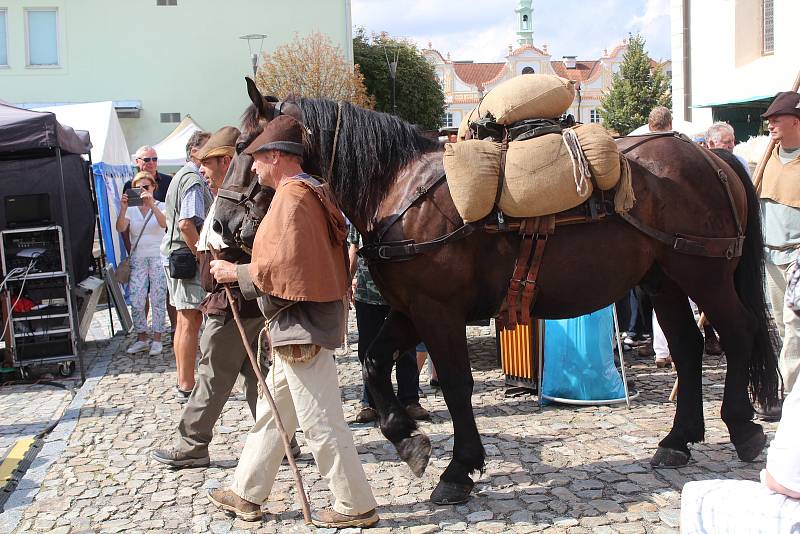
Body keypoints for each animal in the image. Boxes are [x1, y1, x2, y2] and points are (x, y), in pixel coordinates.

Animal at [217, 79, 776, 506]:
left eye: (247, 148)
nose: (221, 224)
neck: (401, 188)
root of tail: (712, 158)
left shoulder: (439, 312)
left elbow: (455, 384)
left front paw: (459, 468)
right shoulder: (409, 310)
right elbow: (375, 364)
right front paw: (405, 438)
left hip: (704, 275)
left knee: (739, 333)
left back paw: (742, 427)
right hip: (665, 282)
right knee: (687, 347)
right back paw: (678, 440)